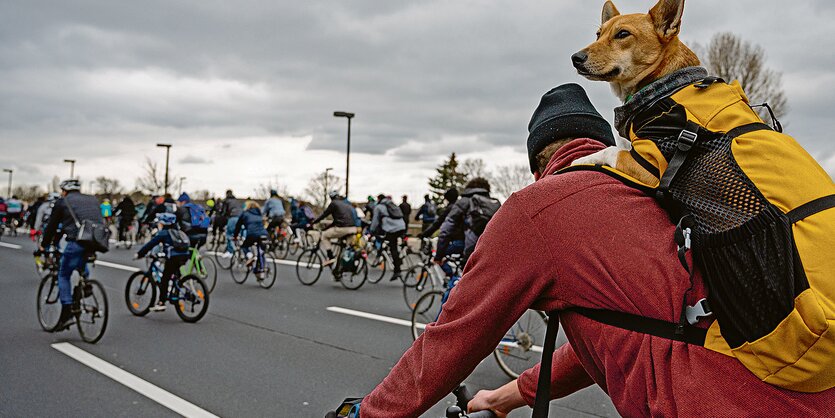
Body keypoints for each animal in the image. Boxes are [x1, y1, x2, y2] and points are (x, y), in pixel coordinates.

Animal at [572, 0, 704, 186]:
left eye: (623, 34)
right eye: (598, 34)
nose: (575, 58)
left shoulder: (650, 168)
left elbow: (611, 150)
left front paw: (581, 159)